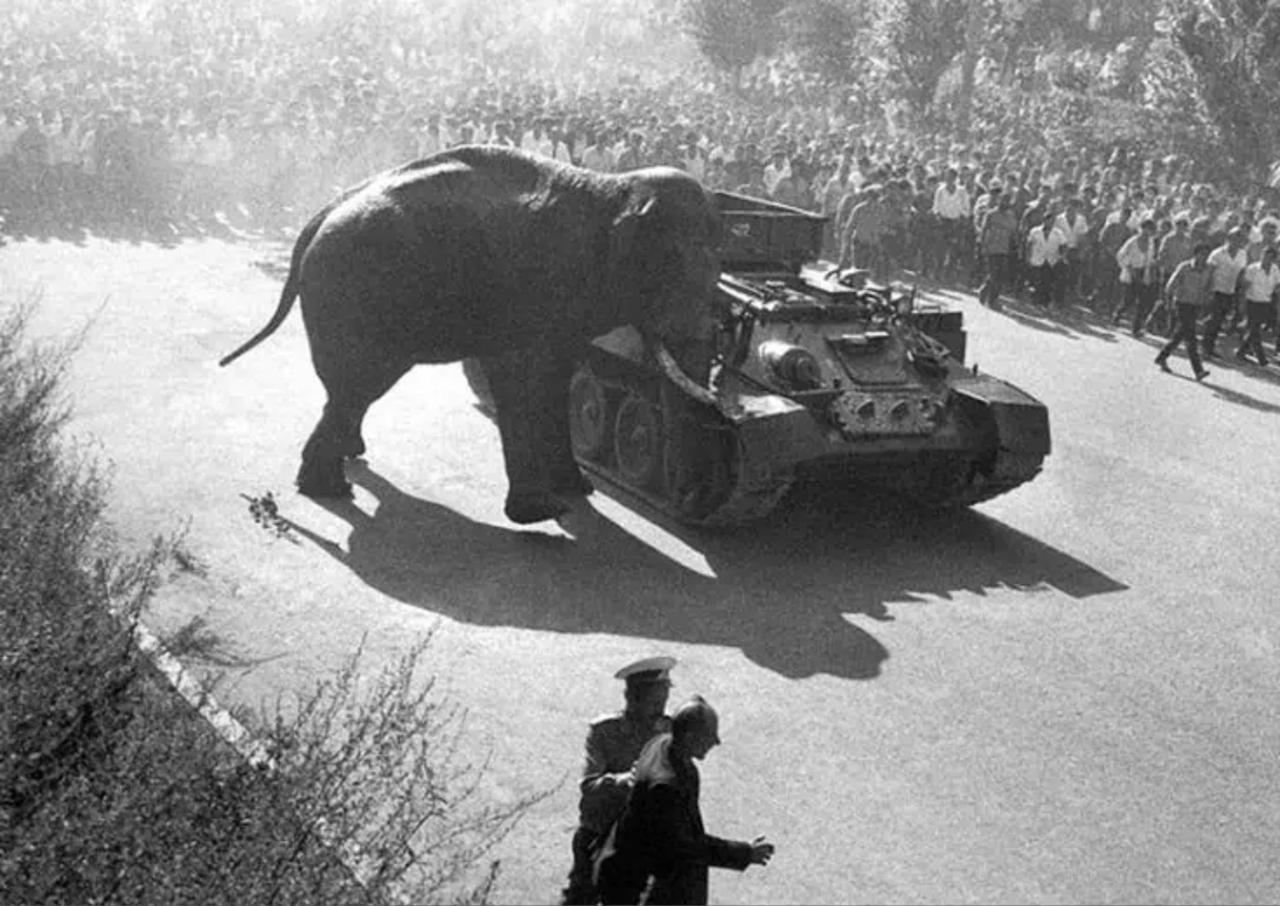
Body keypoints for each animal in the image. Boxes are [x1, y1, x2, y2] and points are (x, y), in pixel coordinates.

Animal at [219, 145, 722, 525]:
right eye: (671, 268)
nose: (687, 498)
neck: (614, 187)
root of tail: (316, 219)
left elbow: (557, 376)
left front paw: (577, 490)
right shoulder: (532, 286)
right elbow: (518, 375)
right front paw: (545, 512)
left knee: (349, 390)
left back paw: (344, 462)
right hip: (357, 297)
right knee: (361, 384)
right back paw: (330, 489)